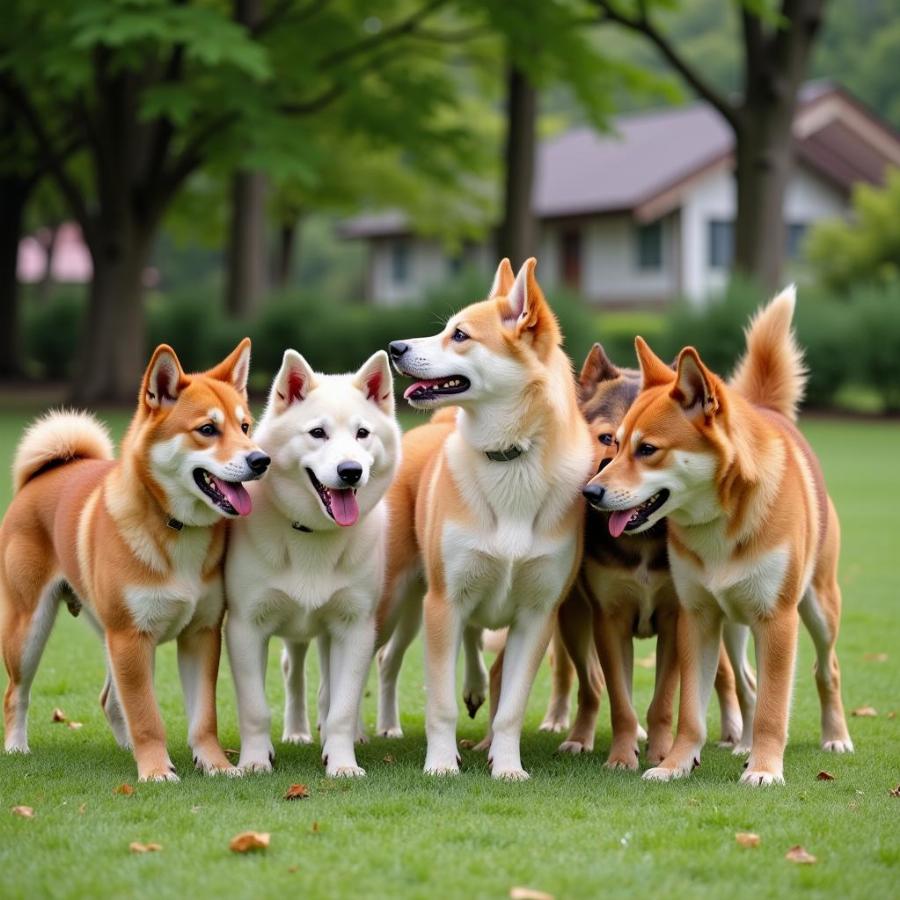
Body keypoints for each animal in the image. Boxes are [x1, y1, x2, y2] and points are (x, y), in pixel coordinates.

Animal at [0, 340, 268, 780]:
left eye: (245, 426)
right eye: (207, 430)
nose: (261, 460)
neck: (176, 529)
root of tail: (43, 475)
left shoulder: (201, 634)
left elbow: (203, 718)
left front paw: (214, 764)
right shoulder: (131, 637)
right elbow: (146, 714)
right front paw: (157, 770)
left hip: (105, 631)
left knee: (110, 699)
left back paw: (127, 749)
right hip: (29, 629)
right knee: (15, 694)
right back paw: (17, 747)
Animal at [224, 348, 398, 776]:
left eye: (363, 433)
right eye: (317, 433)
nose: (350, 471)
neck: (311, 536)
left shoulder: (354, 628)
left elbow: (342, 708)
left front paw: (342, 763)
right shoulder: (245, 627)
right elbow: (255, 709)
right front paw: (255, 762)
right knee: (294, 671)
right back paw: (297, 732)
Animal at [376, 256, 596, 776]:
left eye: (459, 335)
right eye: (446, 329)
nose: (394, 348)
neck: (511, 458)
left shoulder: (537, 616)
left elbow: (511, 706)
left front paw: (508, 766)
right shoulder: (443, 603)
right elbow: (439, 704)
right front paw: (440, 763)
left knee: (421, 654)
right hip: (393, 601)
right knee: (363, 663)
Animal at [588, 292, 856, 784]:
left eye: (647, 450)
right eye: (612, 443)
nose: (590, 493)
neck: (721, 525)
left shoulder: (777, 620)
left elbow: (773, 707)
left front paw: (765, 770)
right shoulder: (696, 618)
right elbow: (691, 712)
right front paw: (675, 764)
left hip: (818, 606)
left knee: (826, 668)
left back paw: (834, 736)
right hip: (733, 625)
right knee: (747, 684)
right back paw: (744, 744)